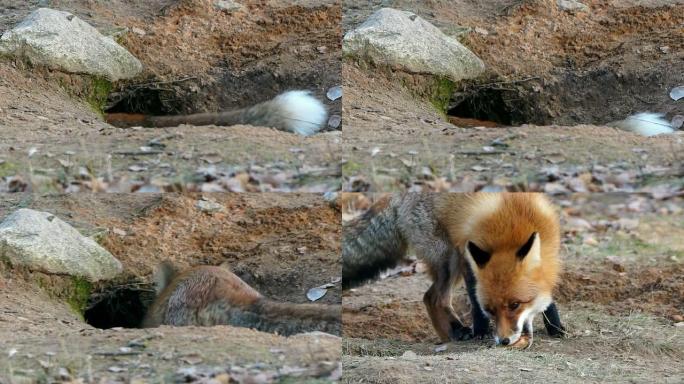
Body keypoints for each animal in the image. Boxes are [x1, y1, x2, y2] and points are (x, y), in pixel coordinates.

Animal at [342, 194, 568, 346]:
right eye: (491, 310)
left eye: (515, 305)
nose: (503, 341)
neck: (515, 223)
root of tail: (395, 194)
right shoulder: (467, 253)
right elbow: (475, 302)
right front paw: (481, 331)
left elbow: (548, 296)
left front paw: (555, 328)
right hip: (449, 259)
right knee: (433, 298)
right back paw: (457, 332)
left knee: (431, 298)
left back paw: (448, 336)